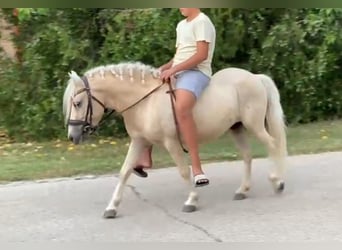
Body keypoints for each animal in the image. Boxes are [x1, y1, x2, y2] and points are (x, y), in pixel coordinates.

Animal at [62, 62, 288, 219]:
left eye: (78, 102)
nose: (73, 136)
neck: (145, 102)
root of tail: (255, 77)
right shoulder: (139, 141)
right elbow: (125, 172)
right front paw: (112, 207)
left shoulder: (171, 142)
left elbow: (183, 171)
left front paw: (191, 200)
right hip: (237, 127)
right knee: (248, 155)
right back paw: (243, 190)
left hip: (254, 125)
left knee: (272, 145)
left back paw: (277, 181)